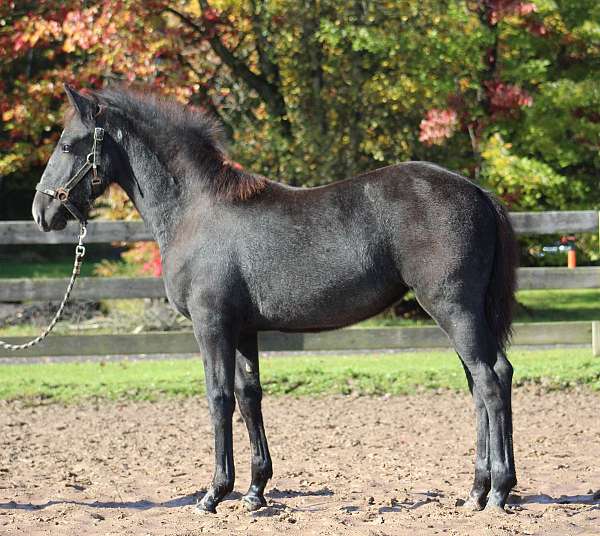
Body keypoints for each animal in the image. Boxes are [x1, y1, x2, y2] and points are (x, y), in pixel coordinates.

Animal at [32, 86, 516, 512]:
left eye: (69, 144)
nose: (41, 212)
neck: (195, 210)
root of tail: (477, 191)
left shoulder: (211, 325)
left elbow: (219, 397)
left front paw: (214, 494)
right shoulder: (244, 329)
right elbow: (249, 396)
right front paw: (254, 491)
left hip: (453, 309)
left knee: (490, 379)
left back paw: (497, 491)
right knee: (482, 382)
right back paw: (476, 490)